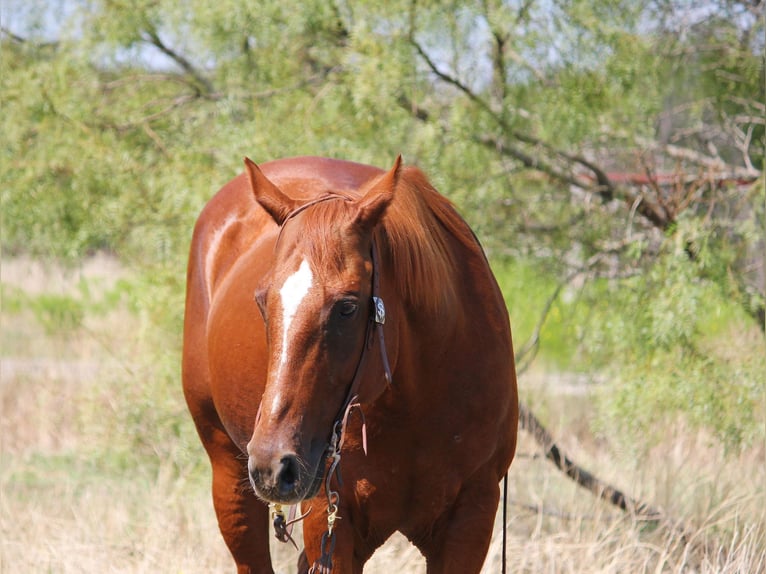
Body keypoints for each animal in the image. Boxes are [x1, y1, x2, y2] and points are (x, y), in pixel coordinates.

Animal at [182, 155, 520, 572]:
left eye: (347, 307)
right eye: (261, 301)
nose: (273, 462)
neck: (416, 405)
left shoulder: (471, 518)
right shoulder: (331, 523)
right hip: (230, 478)